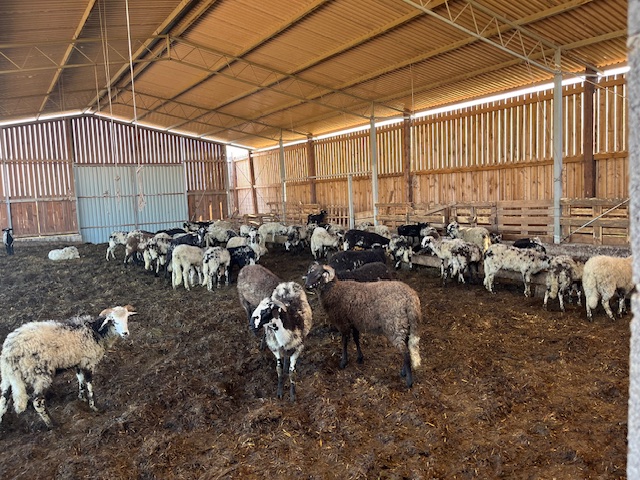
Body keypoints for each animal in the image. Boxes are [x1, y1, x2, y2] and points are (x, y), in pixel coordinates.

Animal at [0, 305, 136, 429]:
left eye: (126, 318)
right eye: (113, 321)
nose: (125, 333)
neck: (95, 331)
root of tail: (9, 351)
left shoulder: (79, 362)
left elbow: (80, 380)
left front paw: (81, 398)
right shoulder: (88, 362)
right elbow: (89, 385)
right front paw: (94, 406)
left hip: (7, 376)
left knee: (3, 399)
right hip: (40, 373)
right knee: (37, 401)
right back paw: (52, 424)